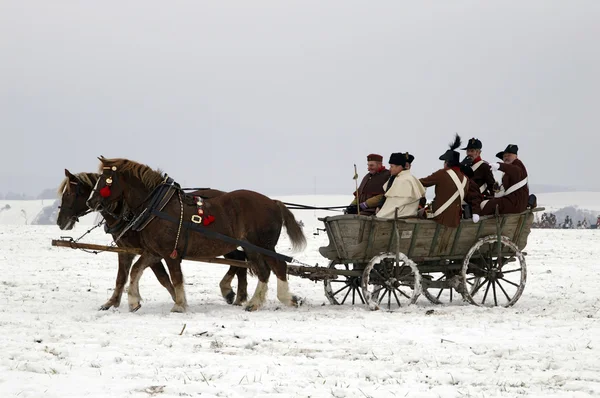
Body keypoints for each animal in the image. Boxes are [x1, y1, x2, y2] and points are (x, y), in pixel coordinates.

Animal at [57, 169, 250, 310]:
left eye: (70, 194)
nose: (60, 222)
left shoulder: (153, 251)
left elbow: (162, 277)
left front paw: (177, 299)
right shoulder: (126, 250)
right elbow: (121, 277)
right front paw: (112, 302)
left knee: (239, 259)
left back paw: (230, 292)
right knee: (241, 260)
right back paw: (237, 295)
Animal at [85, 157, 304, 312]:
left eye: (107, 181)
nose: (91, 201)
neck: (157, 208)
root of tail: (273, 202)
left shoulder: (170, 253)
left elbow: (175, 278)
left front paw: (179, 305)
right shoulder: (153, 252)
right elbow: (136, 271)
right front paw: (133, 301)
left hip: (264, 245)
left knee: (279, 265)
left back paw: (286, 298)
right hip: (252, 247)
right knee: (263, 271)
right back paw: (254, 303)